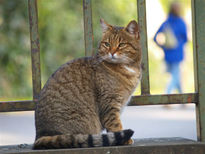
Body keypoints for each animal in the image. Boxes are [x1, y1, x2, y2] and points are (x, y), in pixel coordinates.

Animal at [34, 19, 143, 149]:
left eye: (121, 45)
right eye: (107, 44)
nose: (111, 53)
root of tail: (39, 136)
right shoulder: (109, 105)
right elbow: (115, 125)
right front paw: (124, 139)